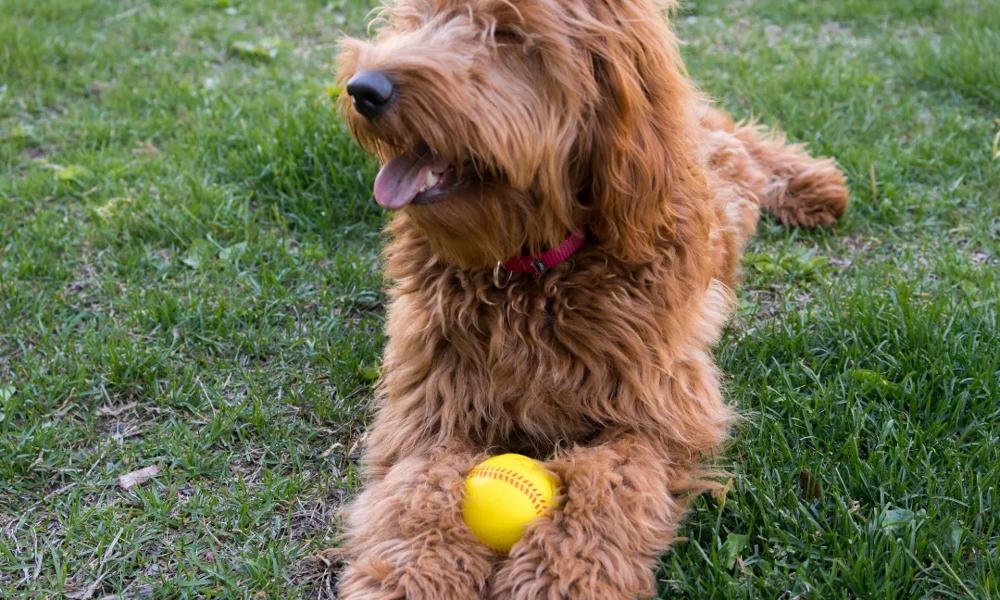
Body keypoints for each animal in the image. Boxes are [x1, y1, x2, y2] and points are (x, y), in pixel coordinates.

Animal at [334, 0, 844, 596]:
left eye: (508, 34)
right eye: (411, 20)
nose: (363, 88)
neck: (530, 271)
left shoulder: (659, 415)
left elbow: (607, 483)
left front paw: (564, 572)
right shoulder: (431, 408)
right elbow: (418, 488)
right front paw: (414, 570)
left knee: (740, 140)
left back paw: (811, 184)